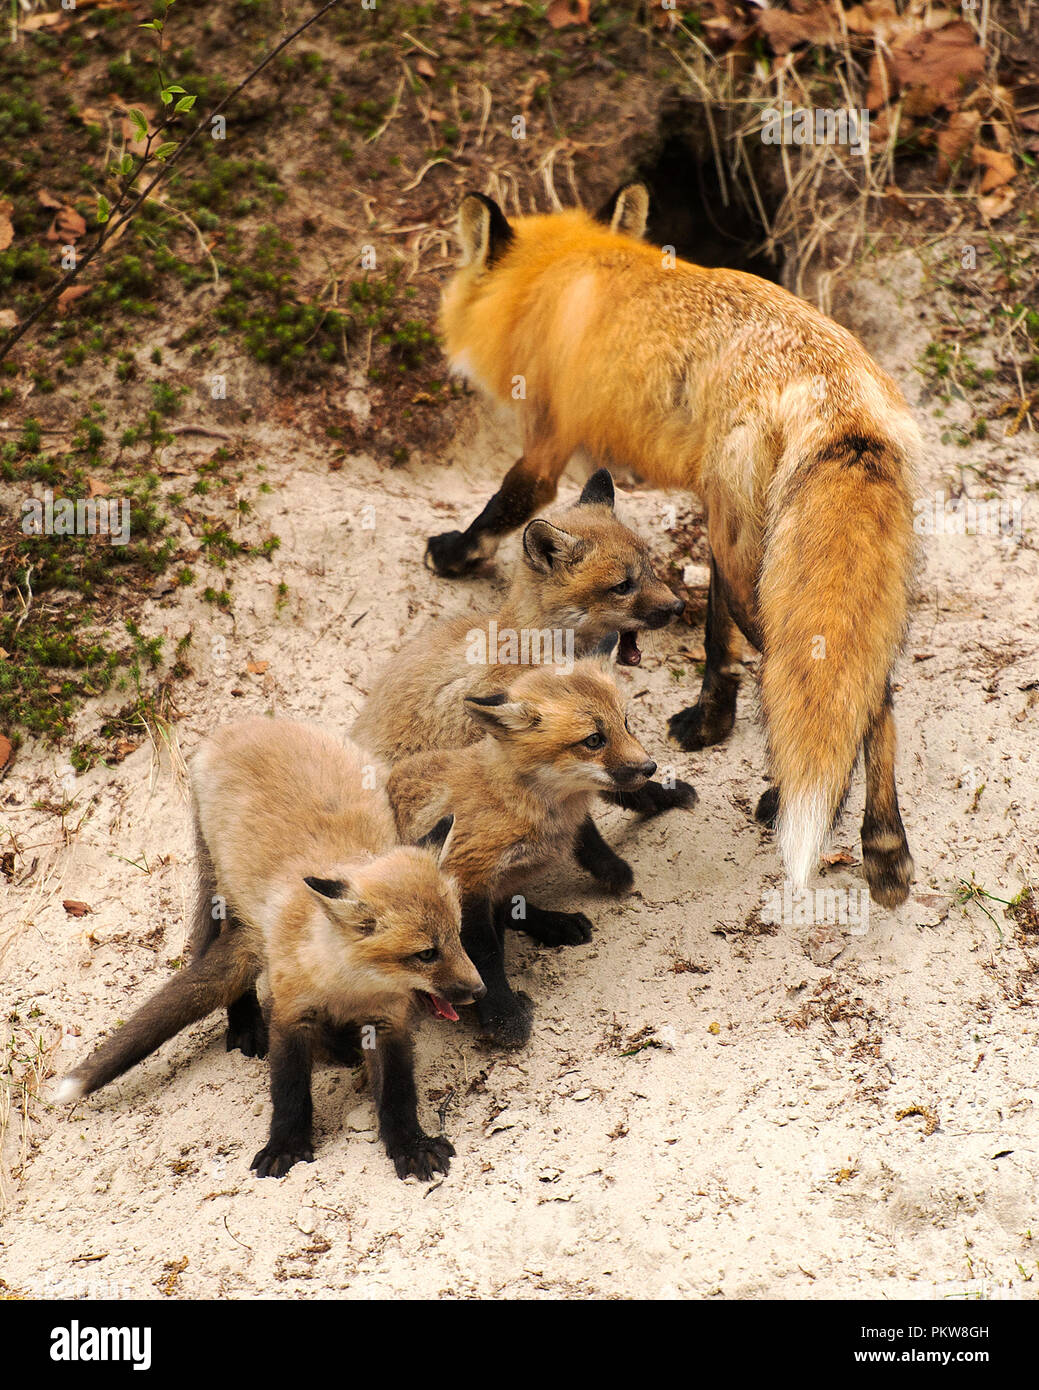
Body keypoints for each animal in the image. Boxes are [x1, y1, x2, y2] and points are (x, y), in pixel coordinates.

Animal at [56, 718, 485, 1181]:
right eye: (426, 954)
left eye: (458, 935)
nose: (479, 990)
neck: (348, 983)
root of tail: (245, 723)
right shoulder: (290, 1014)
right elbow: (290, 1090)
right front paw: (286, 1147)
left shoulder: (388, 1019)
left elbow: (397, 1093)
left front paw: (410, 1145)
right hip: (228, 894)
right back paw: (246, 1022)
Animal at [386, 660, 658, 1048]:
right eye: (593, 740)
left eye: (626, 723)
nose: (650, 768)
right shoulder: (467, 877)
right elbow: (486, 954)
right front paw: (504, 1016)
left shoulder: (507, 876)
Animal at [424, 185, 921, 908]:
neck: (559, 277)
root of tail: (840, 394)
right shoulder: (715, 523)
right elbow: (715, 635)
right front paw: (713, 720)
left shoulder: (547, 436)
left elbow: (507, 503)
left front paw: (455, 553)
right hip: (757, 548)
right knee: (866, 690)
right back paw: (881, 844)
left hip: (759, 572)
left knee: (836, 692)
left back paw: (814, 810)